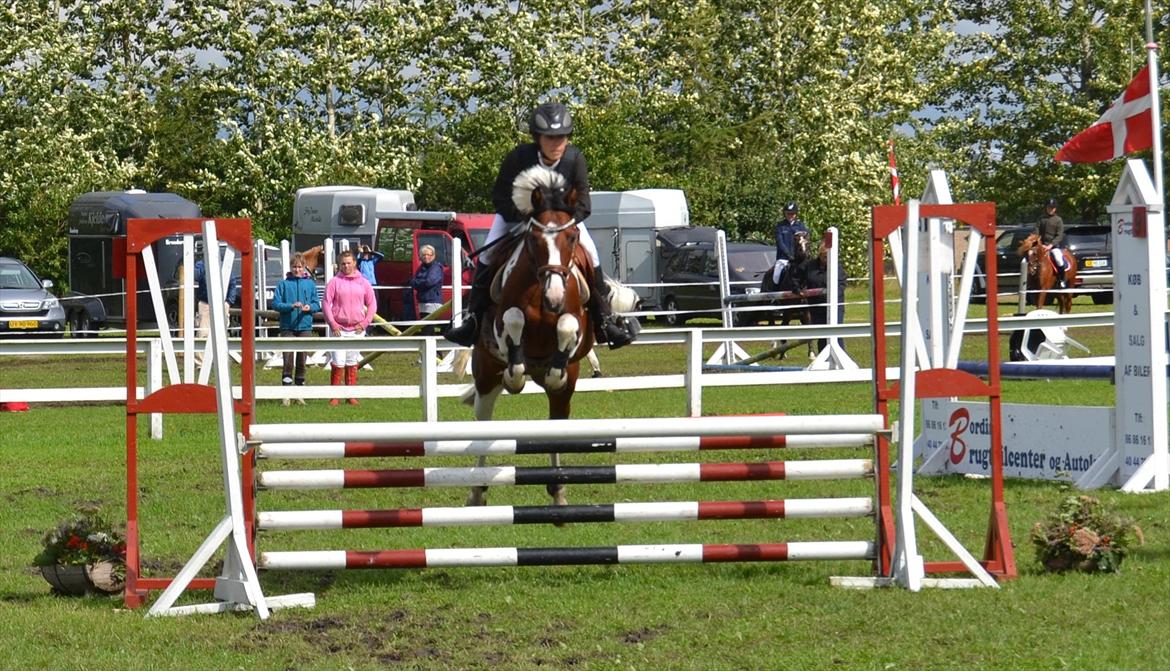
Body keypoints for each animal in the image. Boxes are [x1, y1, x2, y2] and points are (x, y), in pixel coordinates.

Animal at [461, 165, 596, 508]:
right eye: (534, 239)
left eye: (572, 236)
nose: (554, 297)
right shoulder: (502, 322)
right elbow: (514, 318)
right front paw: (515, 375)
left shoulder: (575, 323)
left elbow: (566, 325)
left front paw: (553, 370)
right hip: (485, 375)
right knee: (484, 424)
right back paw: (477, 491)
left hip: (566, 391)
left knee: (557, 423)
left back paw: (558, 491)